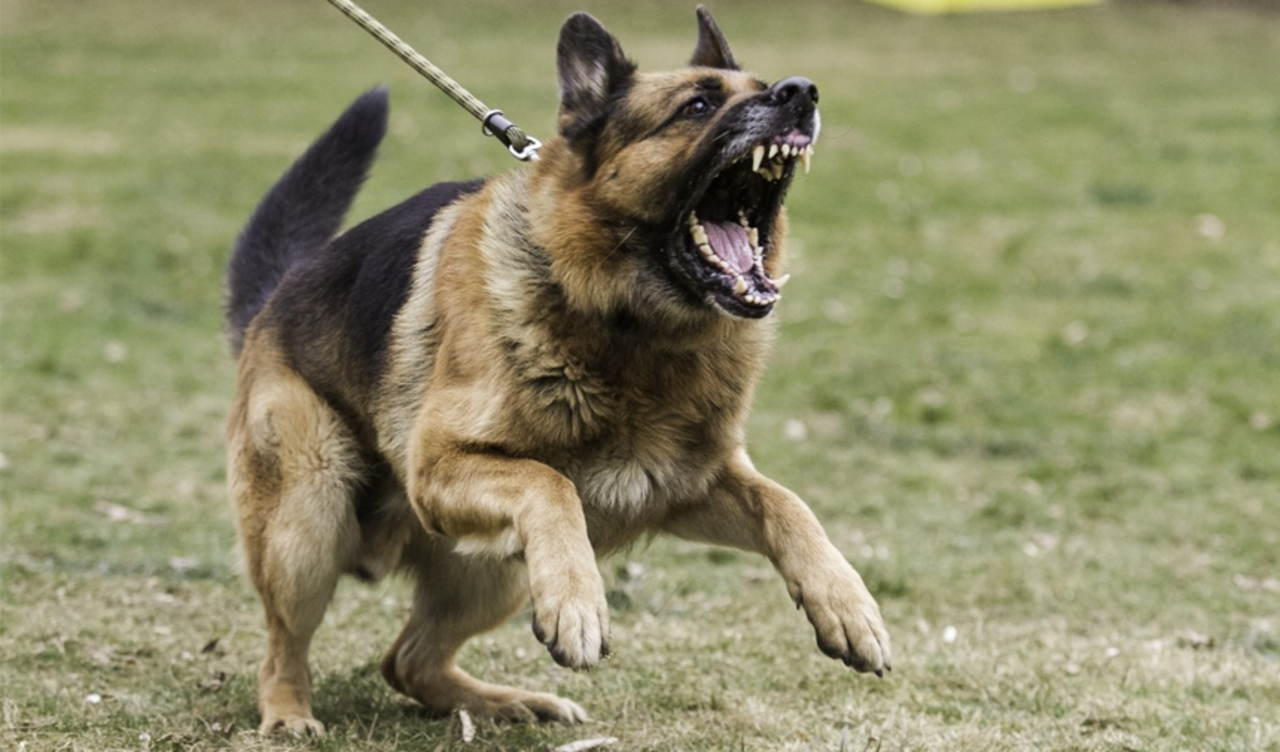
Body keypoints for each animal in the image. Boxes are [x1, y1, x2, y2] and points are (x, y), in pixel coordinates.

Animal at [225, 5, 890, 736]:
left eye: (765, 86)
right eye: (697, 106)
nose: (801, 92)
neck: (630, 329)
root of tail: (273, 299)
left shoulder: (688, 484)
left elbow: (787, 504)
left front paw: (847, 603)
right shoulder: (439, 468)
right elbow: (550, 481)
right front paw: (578, 604)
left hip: (495, 570)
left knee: (408, 662)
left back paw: (512, 703)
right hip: (309, 516)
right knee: (283, 645)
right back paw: (289, 713)